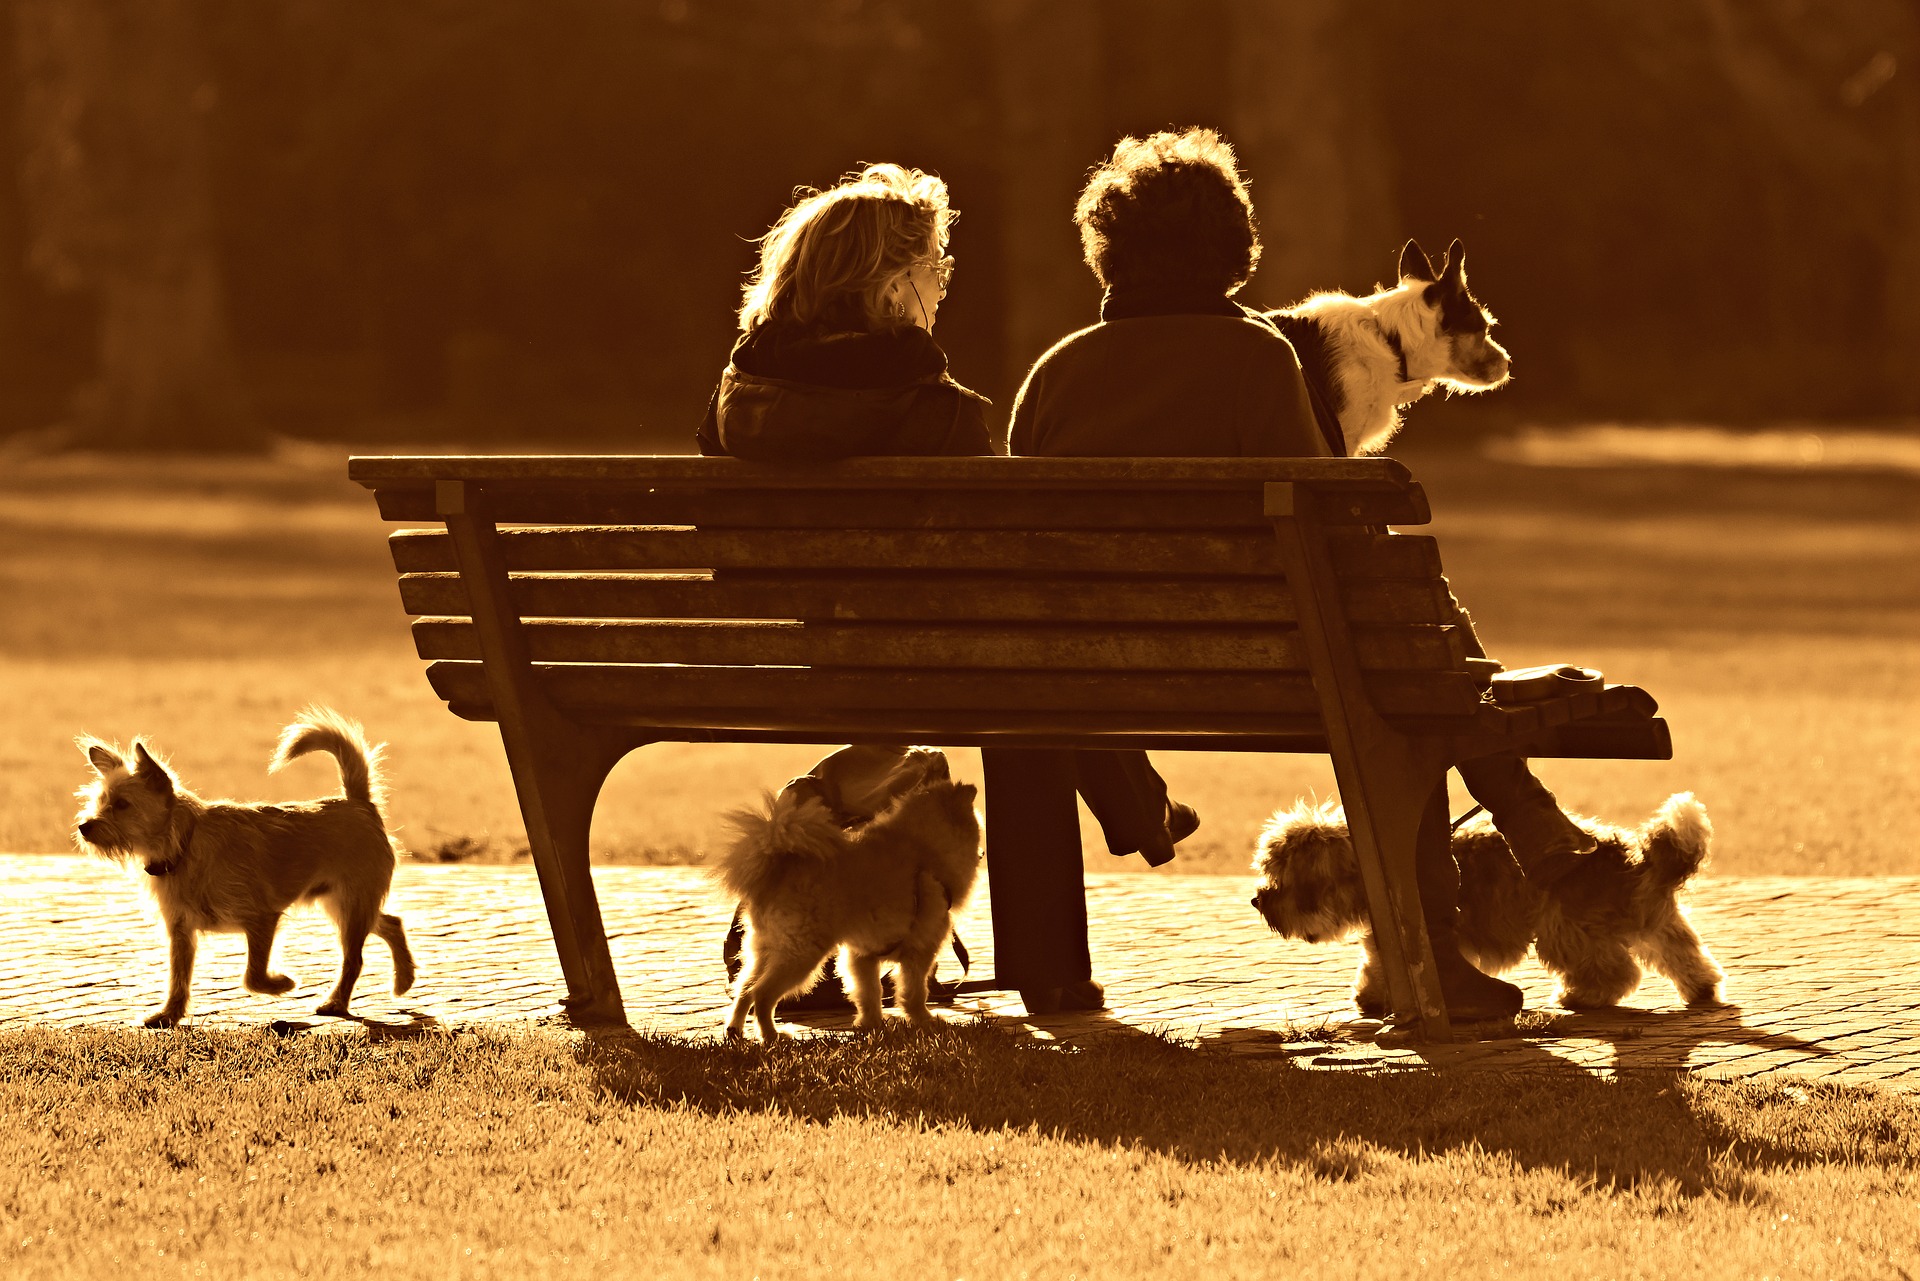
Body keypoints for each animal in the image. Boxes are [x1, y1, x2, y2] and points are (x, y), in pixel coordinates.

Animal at [72, 706, 414, 1029]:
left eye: (122, 805)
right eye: (99, 801)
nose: (84, 827)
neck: (184, 845)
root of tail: (359, 803)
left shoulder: (261, 919)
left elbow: (252, 976)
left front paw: (282, 983)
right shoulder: (181, 931)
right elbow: (178, 979)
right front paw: (169, 1015)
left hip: (351, 906)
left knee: (354, 958)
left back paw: (338, 1002)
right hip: (341, 903)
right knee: (391, 923)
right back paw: (404, 979)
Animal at [721, 756, 990, 1044]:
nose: (982, 853)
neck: (924, 851)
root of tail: (777, 867)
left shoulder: (863, 955)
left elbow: (868, 993)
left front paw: (870, 1025)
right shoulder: (920, 949)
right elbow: (914, 992)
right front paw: (925, 1020)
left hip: (764, 949)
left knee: (744, 988)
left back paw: (735, 1030)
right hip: (801, 954)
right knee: (761, 994)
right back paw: (773, 1035)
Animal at [1244, 791, 1728, 1014]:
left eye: (1282, 878)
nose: (1257, 899)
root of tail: (1634, 857)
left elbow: (1382, 963)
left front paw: (1374, 998)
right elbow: (1377, 963)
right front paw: (1373, 996)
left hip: (1563, 927)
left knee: (1616, 971)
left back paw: (1581, 995)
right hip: (1656, 922)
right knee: (1686, 955)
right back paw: (1701, 989)